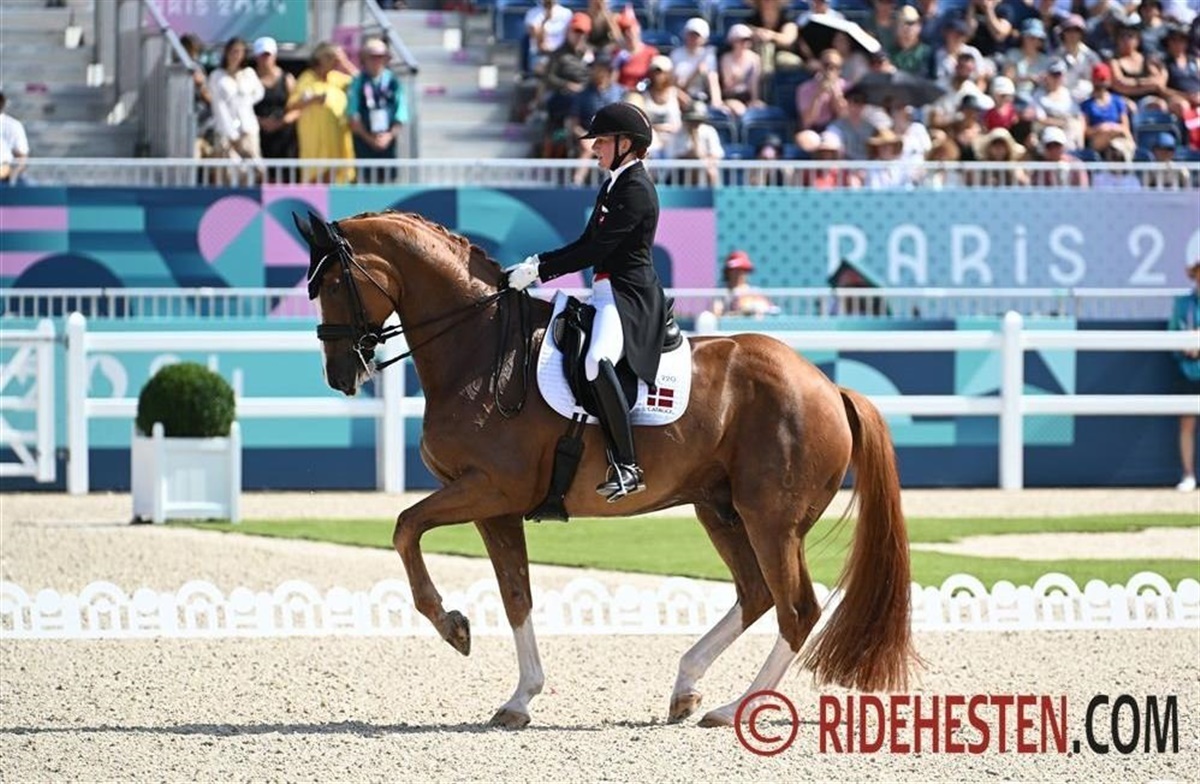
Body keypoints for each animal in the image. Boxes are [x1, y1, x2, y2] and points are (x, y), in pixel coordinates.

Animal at [293, 209, 916, 730]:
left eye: (332, 286)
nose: (340, 375)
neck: (480, 352)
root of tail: (828, 385)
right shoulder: (495, 507)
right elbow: (515, 595)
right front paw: (519, 698)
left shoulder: (488, 489)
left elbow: (405, 528)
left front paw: (453, 627)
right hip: (719, 509)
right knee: (757, 594)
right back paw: (687, 688)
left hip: (771, 520)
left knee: (796, 609)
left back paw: (733, 707)